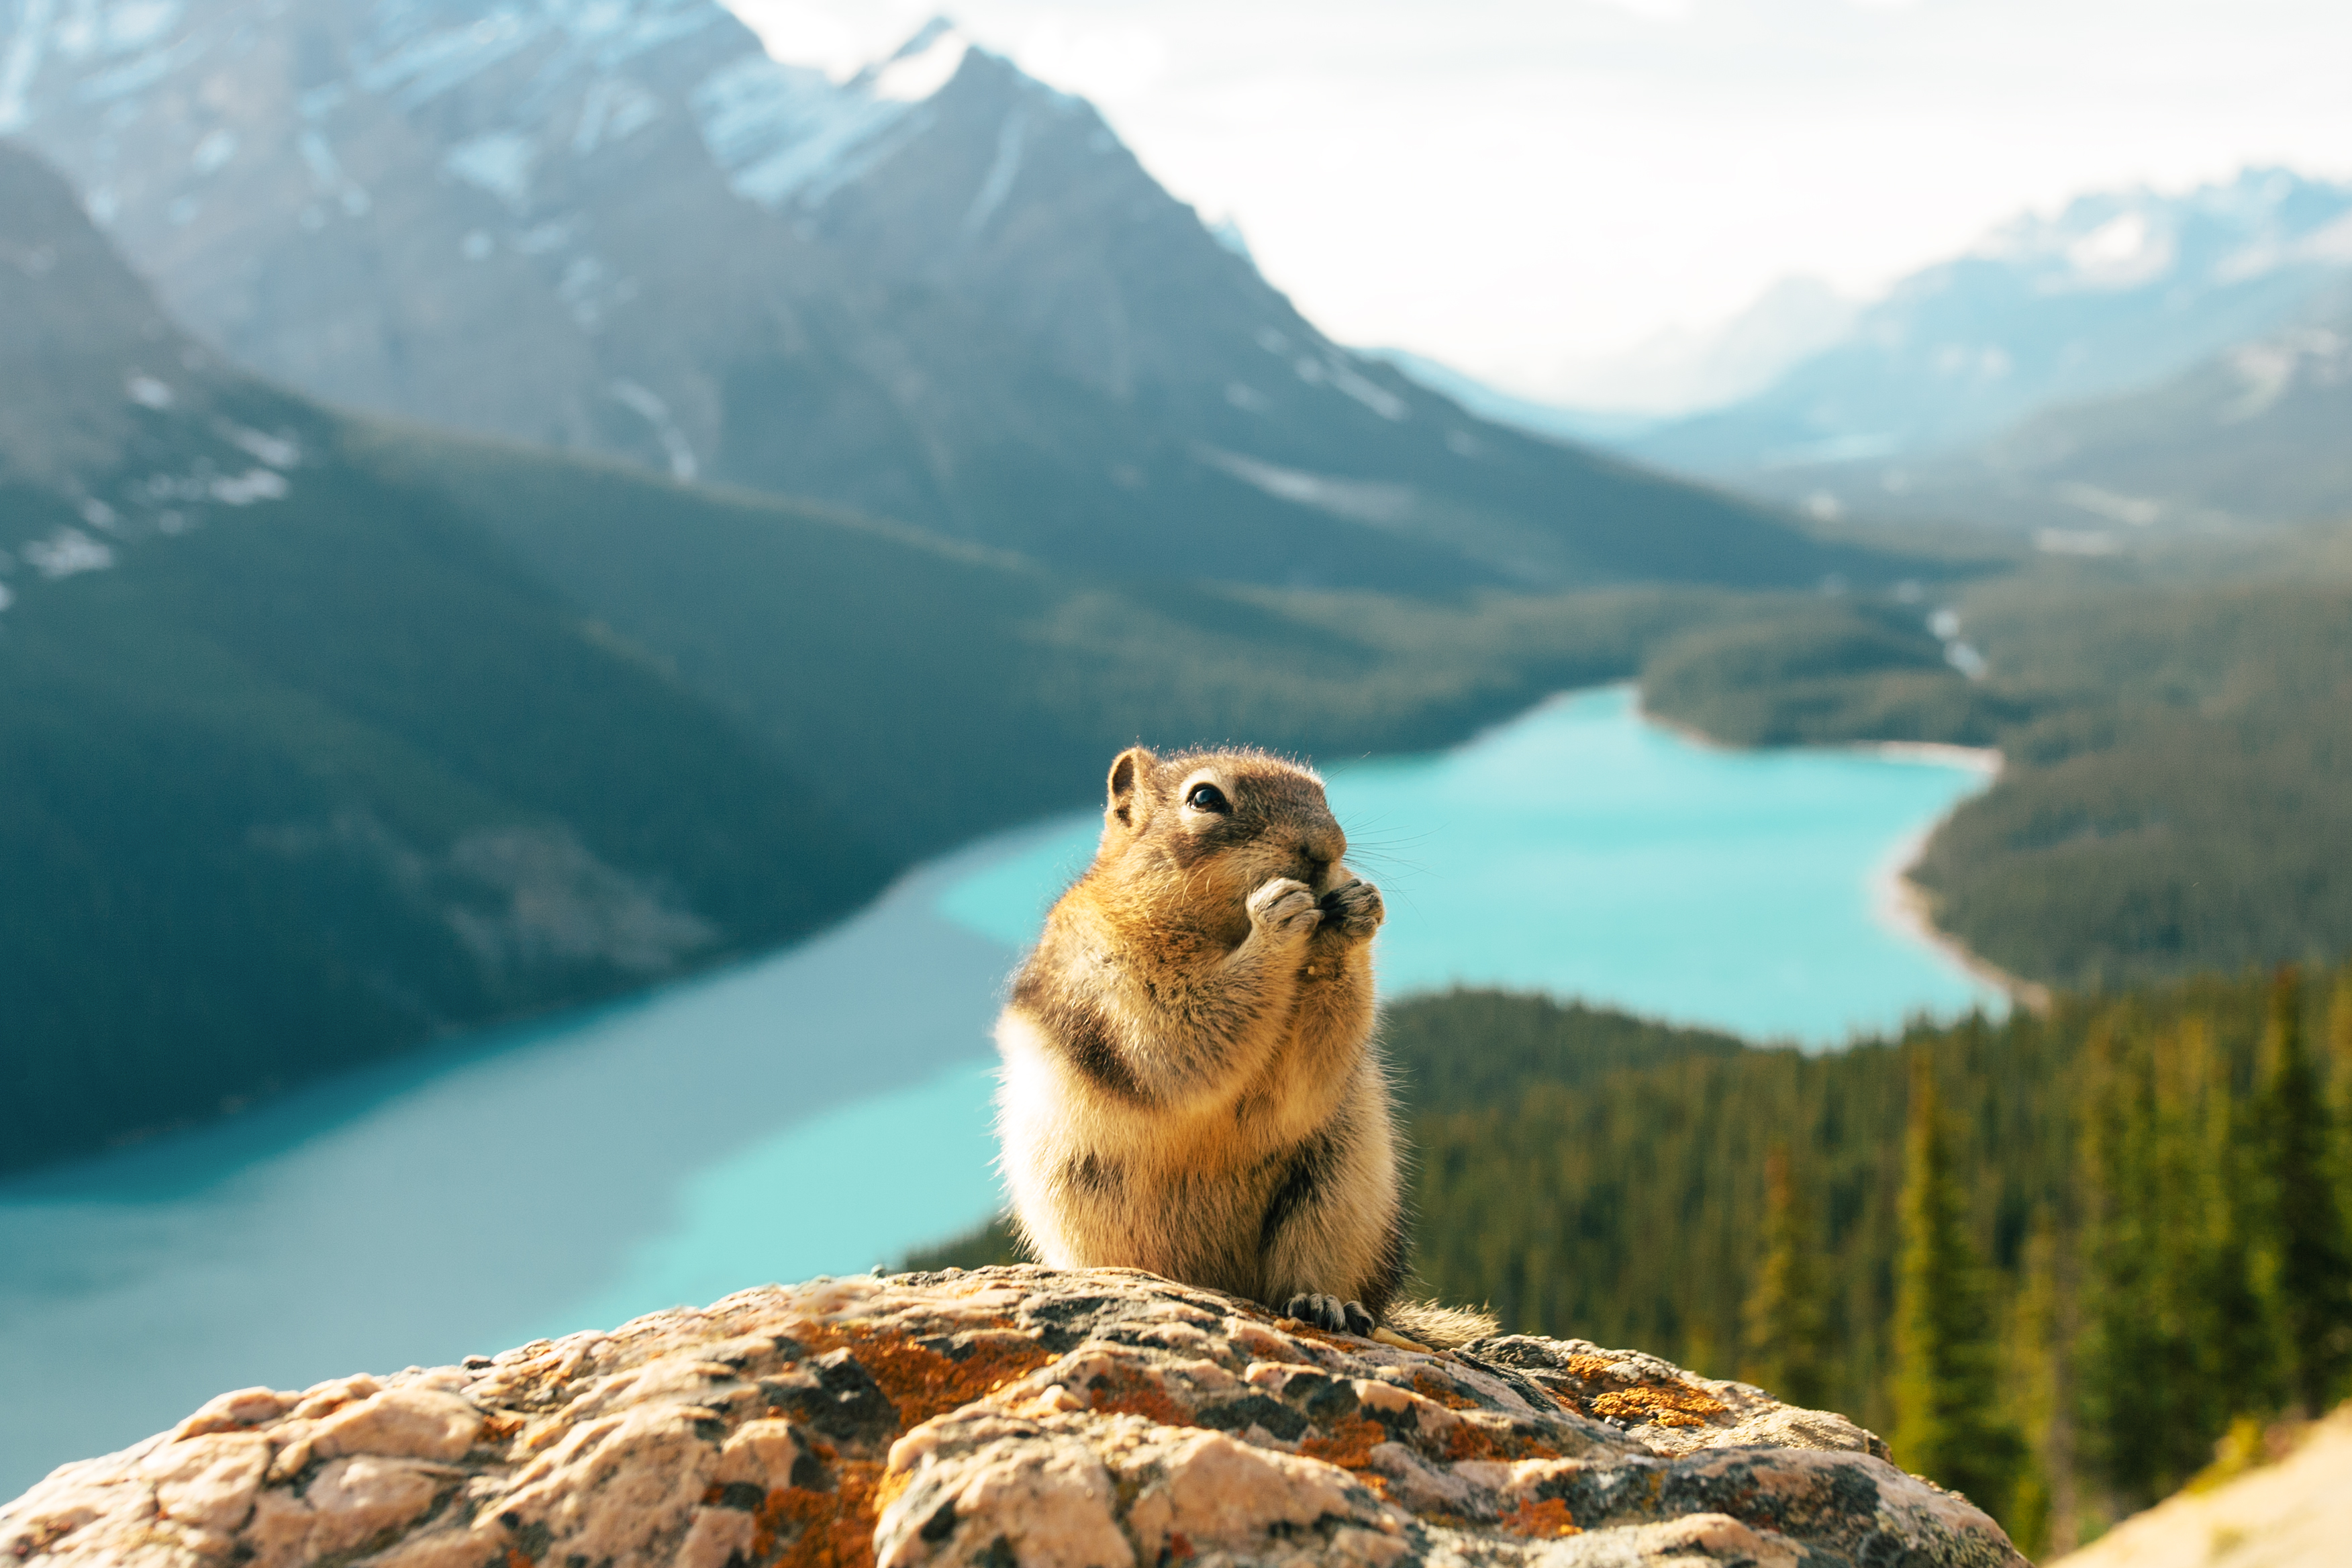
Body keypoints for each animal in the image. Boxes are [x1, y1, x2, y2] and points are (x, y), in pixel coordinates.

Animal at [993, 744, 1494, 1348]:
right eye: (1205, 797)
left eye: (1322, 792)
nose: (1328, 849)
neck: (1223, 932)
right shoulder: (1122, 976)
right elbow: (1184, 1034)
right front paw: (1278, 918)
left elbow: (1309, 1072)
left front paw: (1356, 907)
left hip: (1337, 1197)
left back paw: (1326, 1304)